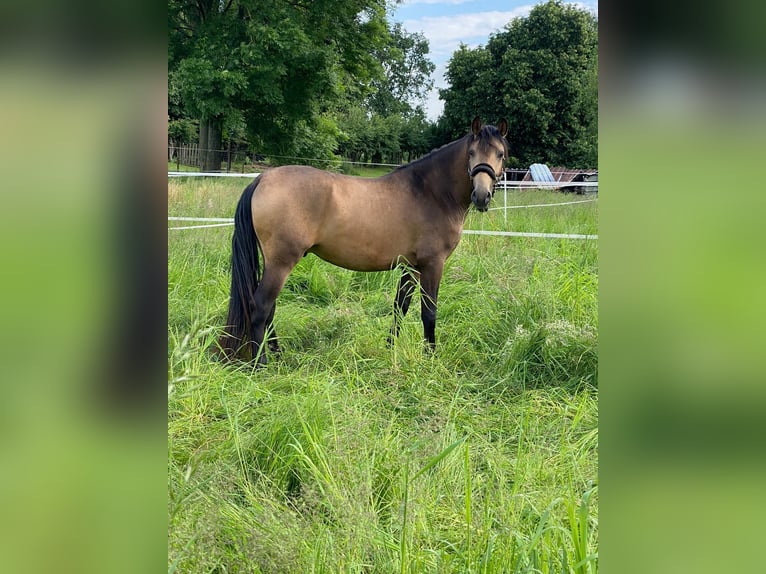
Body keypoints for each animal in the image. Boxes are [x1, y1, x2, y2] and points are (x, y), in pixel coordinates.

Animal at [219, 117, 510, 364]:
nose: (481, 196)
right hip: (281, 262)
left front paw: (390, 349)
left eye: (500, 154)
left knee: (269, 309)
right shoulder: (432, 265)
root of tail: (263, 178)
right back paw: (262, 365)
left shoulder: (411, 267)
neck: (431, 192)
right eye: (471, 153)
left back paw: (278, 355)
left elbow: (400, 308)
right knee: (260, 307)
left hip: (273, 262)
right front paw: (430, 359)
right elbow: (429, 313)